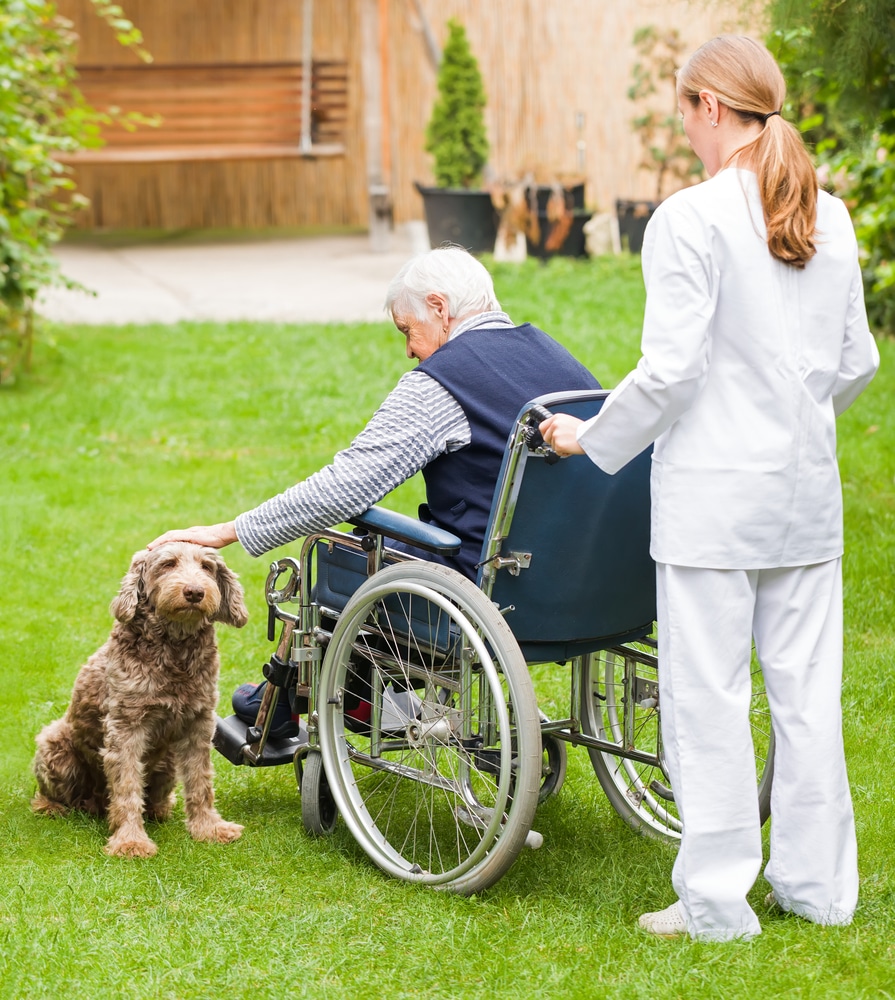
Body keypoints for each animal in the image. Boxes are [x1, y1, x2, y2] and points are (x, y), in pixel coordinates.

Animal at [32, 544, 248, 856]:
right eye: (168, 564)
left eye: (207, 567)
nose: (195, 592)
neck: (174, 650)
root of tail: (95, 802)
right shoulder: (126, 726)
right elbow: (126, 786)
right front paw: (130, 841)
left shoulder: (199, 722)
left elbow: (200, 780)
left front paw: (208, 827)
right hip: (54, 745)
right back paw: (51, 806)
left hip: (167, 761)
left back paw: (160, 808)